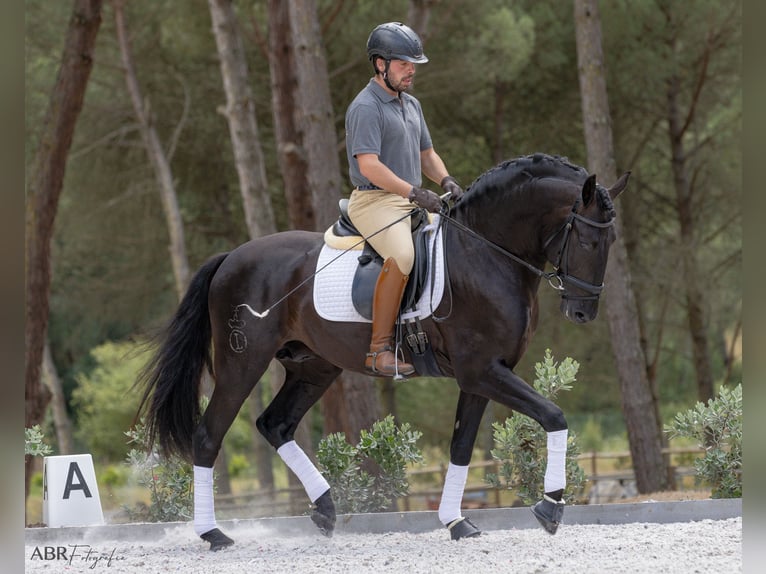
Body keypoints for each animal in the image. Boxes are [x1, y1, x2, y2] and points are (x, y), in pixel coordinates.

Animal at [138, 154, 632, 552]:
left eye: (609, 243)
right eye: (587, 241)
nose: (583, 311)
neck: (485, 253)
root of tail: (232, 257)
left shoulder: (483, 375)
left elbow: (461, 444)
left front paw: (456, 522)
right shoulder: (482, 371)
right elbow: (554, 415)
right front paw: (550, 507)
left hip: (314, 367)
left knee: (274, 424)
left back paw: (325, 510)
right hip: (242, 364)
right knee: (209, 436)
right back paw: (213, 534)